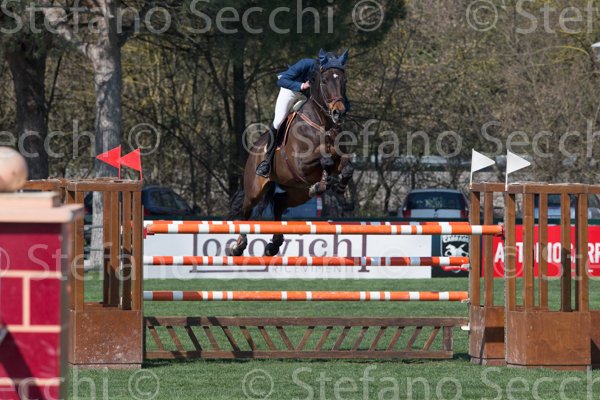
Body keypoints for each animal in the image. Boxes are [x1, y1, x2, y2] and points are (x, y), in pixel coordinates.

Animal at [227, 61, 354, 257]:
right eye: (325, 81)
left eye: (344, 80)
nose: (338, 112)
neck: (323, 124)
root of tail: (254, 150)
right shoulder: (301, 163)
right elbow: (324, 160)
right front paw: (325, 182)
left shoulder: (337, 158)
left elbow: (346, 166)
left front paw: (337, 186)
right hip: (255, 190)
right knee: (246, 210)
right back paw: (238, 246)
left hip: (298, 192)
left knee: (279, 203)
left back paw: (274, 244)